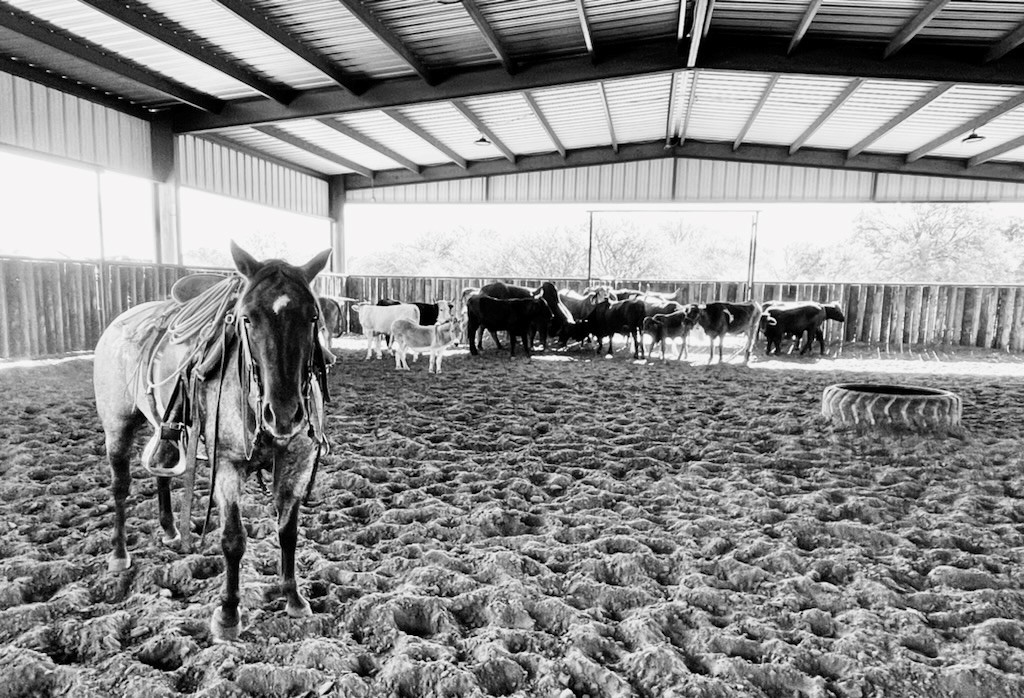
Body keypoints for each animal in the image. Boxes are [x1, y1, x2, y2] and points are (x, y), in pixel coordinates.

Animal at [93, 242, 332, 642]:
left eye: (312, 316)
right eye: (247, 318)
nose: (284, 414)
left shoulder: (297, 462)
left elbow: (288, 532)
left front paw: (294, 598)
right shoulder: (227, 464)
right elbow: (233, 540)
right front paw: (229, 613)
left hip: (165, 423)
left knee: (163, 466)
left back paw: (171, 530)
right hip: (117, 426)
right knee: (120, 487)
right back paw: (119, 553)